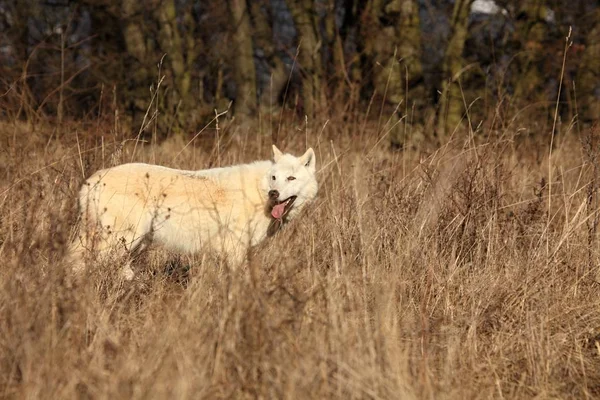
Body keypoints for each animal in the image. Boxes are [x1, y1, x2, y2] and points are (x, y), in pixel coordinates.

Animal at [68, 145, 318, 278]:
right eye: (274, 177)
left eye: (291, 178)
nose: (274, 193)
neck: (258, 193)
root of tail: (90, 180)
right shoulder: (234, 250)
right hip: (122, 242)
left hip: (135, 244)